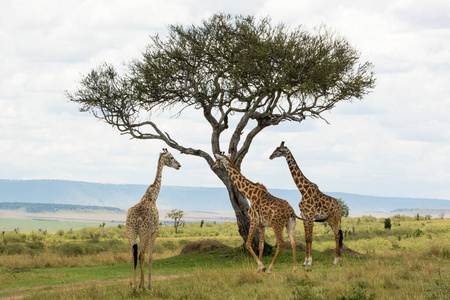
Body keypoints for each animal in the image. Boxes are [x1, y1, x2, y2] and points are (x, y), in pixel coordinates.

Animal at [125, 149, 181, 292]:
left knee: (134, 254)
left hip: (130, 232)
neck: (153, 197)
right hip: (144, 233)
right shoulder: (154, 232)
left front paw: (139, 284)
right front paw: (149, 285)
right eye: (171, 157)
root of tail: (136, 220)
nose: (179, 165)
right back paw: (143, 286)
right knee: (141, 255)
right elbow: (150, 257)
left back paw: (133, 286)